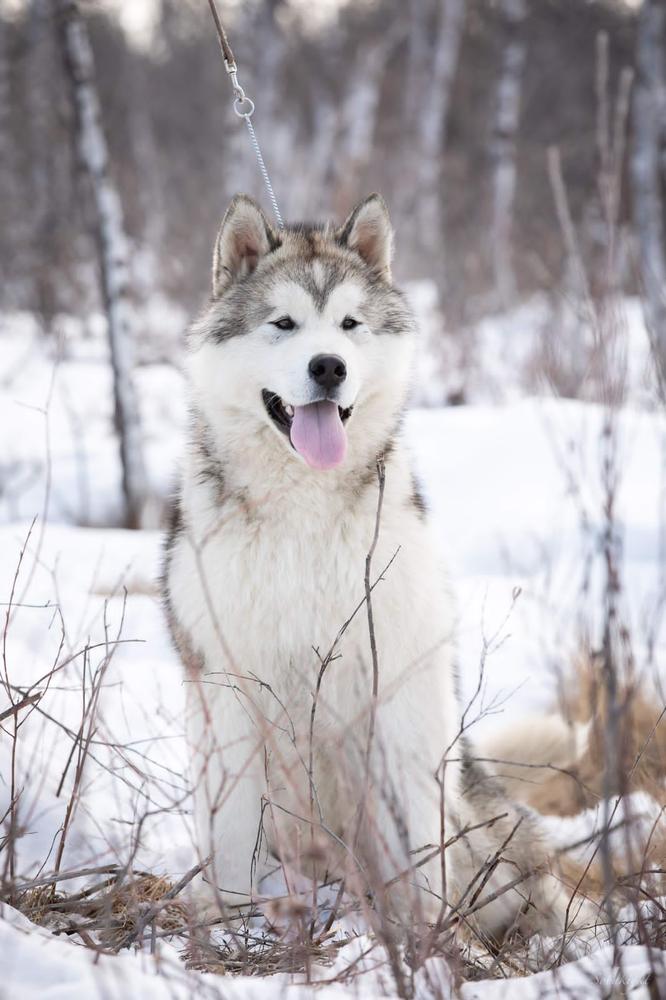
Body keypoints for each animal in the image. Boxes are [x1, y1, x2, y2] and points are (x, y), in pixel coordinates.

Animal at [161, 193, 588, 936]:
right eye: (283, 323)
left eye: (350, 324)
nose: (328, 366)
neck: (303, 509)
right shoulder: (223, 688)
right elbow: (233, 832)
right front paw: (233, 926)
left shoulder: (402, 689)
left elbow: (417, 851)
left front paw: (426, 938)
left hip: (480, 827)